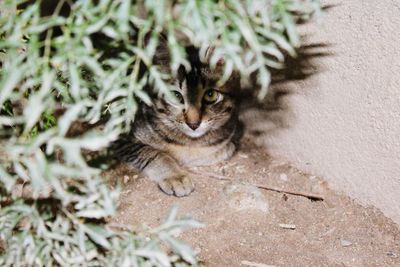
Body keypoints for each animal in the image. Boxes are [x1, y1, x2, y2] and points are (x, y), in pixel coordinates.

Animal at [111, 45, 241, 198]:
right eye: (175, 96)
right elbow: (151, 152)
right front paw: (175, 176)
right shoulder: (117, 138)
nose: (193, 124)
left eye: (211, 95)